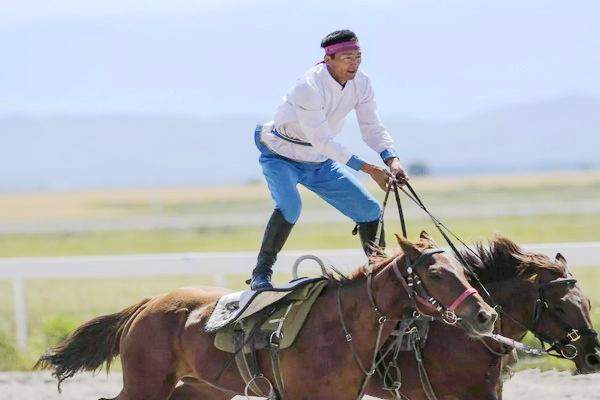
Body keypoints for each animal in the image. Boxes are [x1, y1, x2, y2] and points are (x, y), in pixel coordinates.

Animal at [36, 234, 496, 400]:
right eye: (436, 274)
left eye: (461, 268)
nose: (485, 314)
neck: (339, 329)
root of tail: (146, 305)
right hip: (145, 384)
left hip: (201, 388)